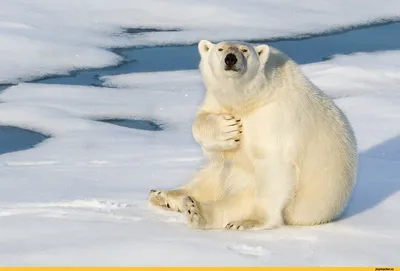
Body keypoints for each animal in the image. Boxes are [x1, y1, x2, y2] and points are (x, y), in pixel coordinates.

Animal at [148, 40, 358, 232]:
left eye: (244, 50)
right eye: (220, 48)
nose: (230, 58)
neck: (251, 99)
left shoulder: (273, 117)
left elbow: (273, 164)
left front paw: (252, 220)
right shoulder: (216, 101)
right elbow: (201, 121)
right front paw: (228, 129)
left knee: (239, 201)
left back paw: (197, 210)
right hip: (219, 173)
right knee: (208, 178)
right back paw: (164, 195)